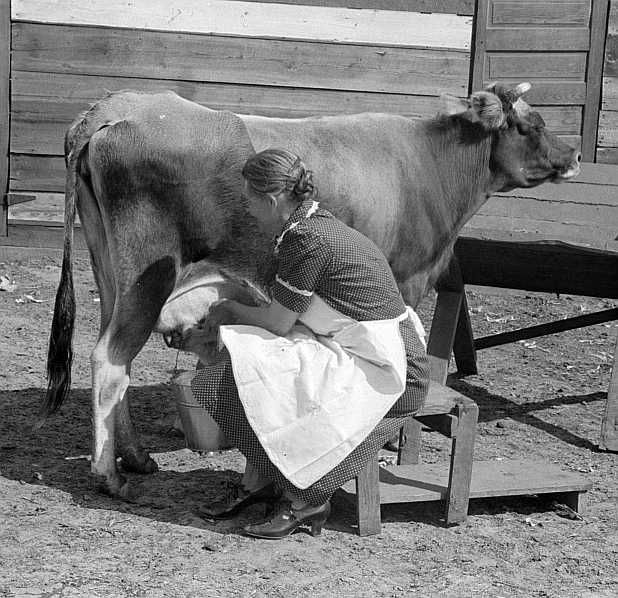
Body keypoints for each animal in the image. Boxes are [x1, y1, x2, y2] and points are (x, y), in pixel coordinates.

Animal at [43, 82, 576, 500]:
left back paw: (135, 456)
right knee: (110, 360)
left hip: (112, 274)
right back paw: (109, 475)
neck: (427, 164)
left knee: (117, 359)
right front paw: (391, 434)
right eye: (528, 126)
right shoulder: (405, 278)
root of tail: (114, 109)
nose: (571, 155)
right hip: (148, 276)